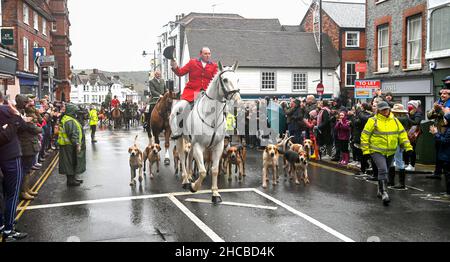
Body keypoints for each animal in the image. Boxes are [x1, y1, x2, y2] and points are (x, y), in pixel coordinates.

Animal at [175, 61, 241, 203]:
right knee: (183, 157)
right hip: (179, 139)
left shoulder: (218, 146)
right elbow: (203, 171)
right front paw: (194, 187)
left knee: (189, 157)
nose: (238, 100)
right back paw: (186, 180)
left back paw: (189, 177)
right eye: (225, 79)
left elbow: (214, 169)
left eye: (237, 79)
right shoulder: (199, 146)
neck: (212, 116)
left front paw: (215, 193)